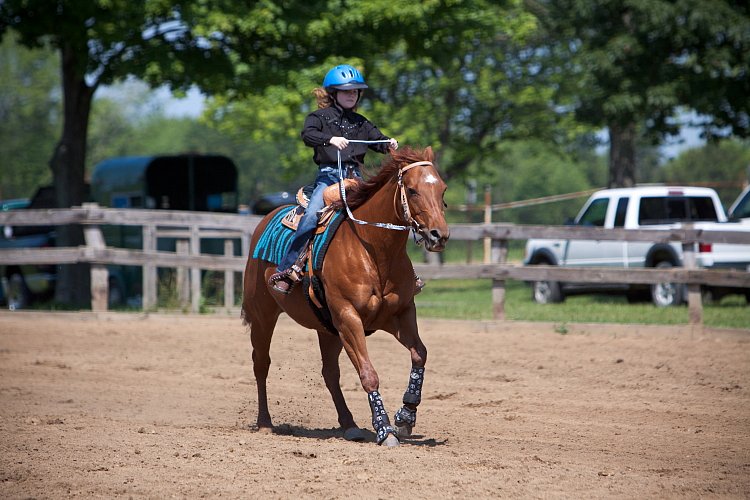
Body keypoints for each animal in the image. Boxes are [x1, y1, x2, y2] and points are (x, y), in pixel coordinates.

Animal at [244, 145, 450, 446]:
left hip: (327, 329)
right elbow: (369, 374)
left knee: (330, 372)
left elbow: (419, 354)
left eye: (443, 189)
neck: (373, 249)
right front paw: (385, 430)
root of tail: (266, 220)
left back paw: (349, 424)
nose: (439, 235)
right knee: (261, 364)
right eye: (412, 190)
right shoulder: (348, 317)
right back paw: (265, 423)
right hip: (263, 315)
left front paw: (405, 417)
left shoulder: (399, 315)